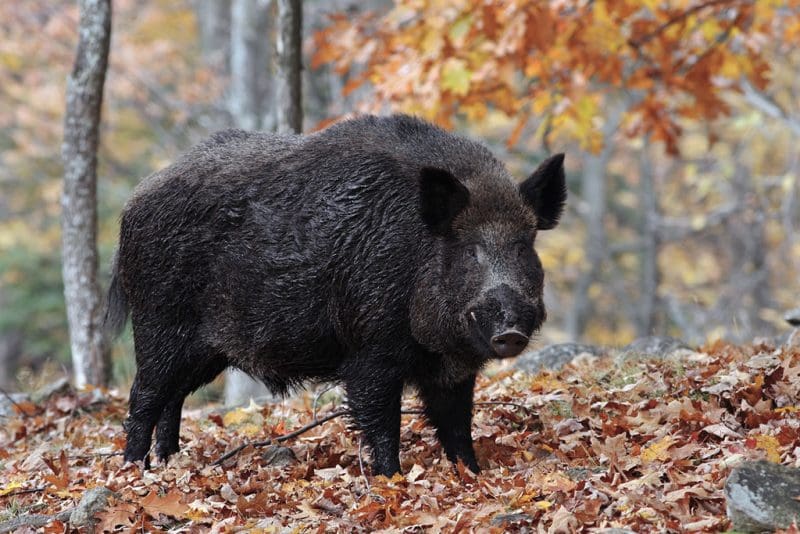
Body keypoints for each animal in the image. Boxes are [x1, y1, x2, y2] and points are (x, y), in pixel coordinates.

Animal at [105, 114, 566, 476]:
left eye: (524, 246)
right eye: (469, 249)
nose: (510, 330)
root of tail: (132, 203)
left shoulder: (451, 370)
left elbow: (456, 424)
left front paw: (471, 473)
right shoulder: (370, 352)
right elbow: (381, 421)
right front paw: (390, 479)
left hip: (204, 351)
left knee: (173, 397)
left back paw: (168, 462)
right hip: (158, 323)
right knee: (144, 396)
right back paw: (135, 470)